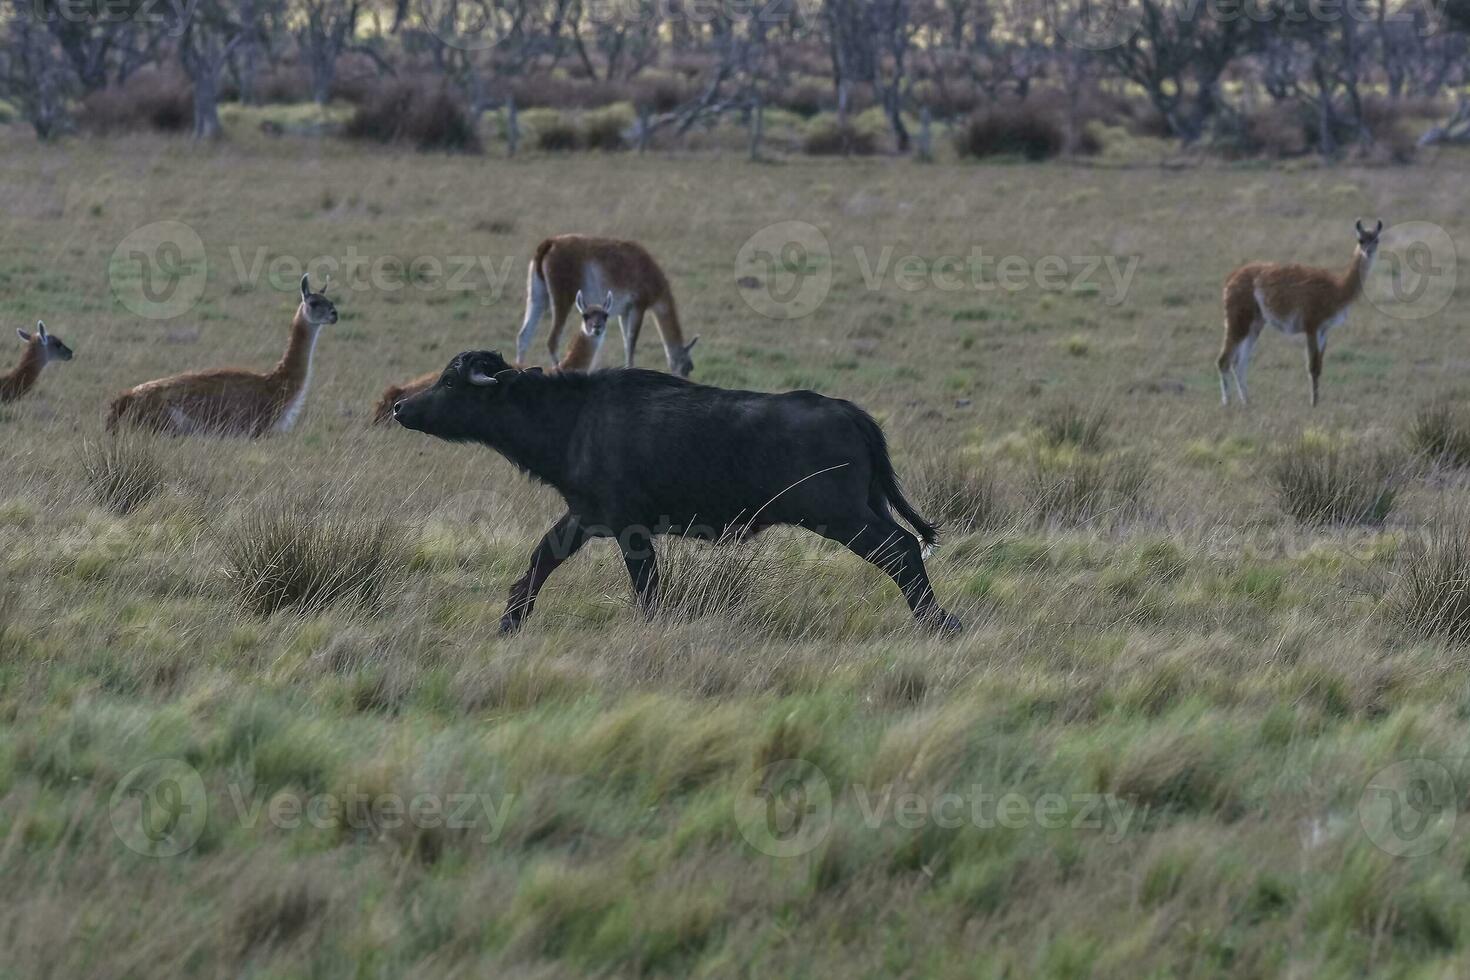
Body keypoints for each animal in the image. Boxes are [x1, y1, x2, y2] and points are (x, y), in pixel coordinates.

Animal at [396, 352, 958, 637]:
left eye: (450, 382)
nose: (401, 407)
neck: (575, 418)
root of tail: (850, 412)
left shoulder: (628, 529)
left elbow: (646, 586)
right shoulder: (583, 517)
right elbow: (540, 560)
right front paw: (510, 620)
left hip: (843, 518)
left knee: (902, 550)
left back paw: (939, 623)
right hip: (866, 508)